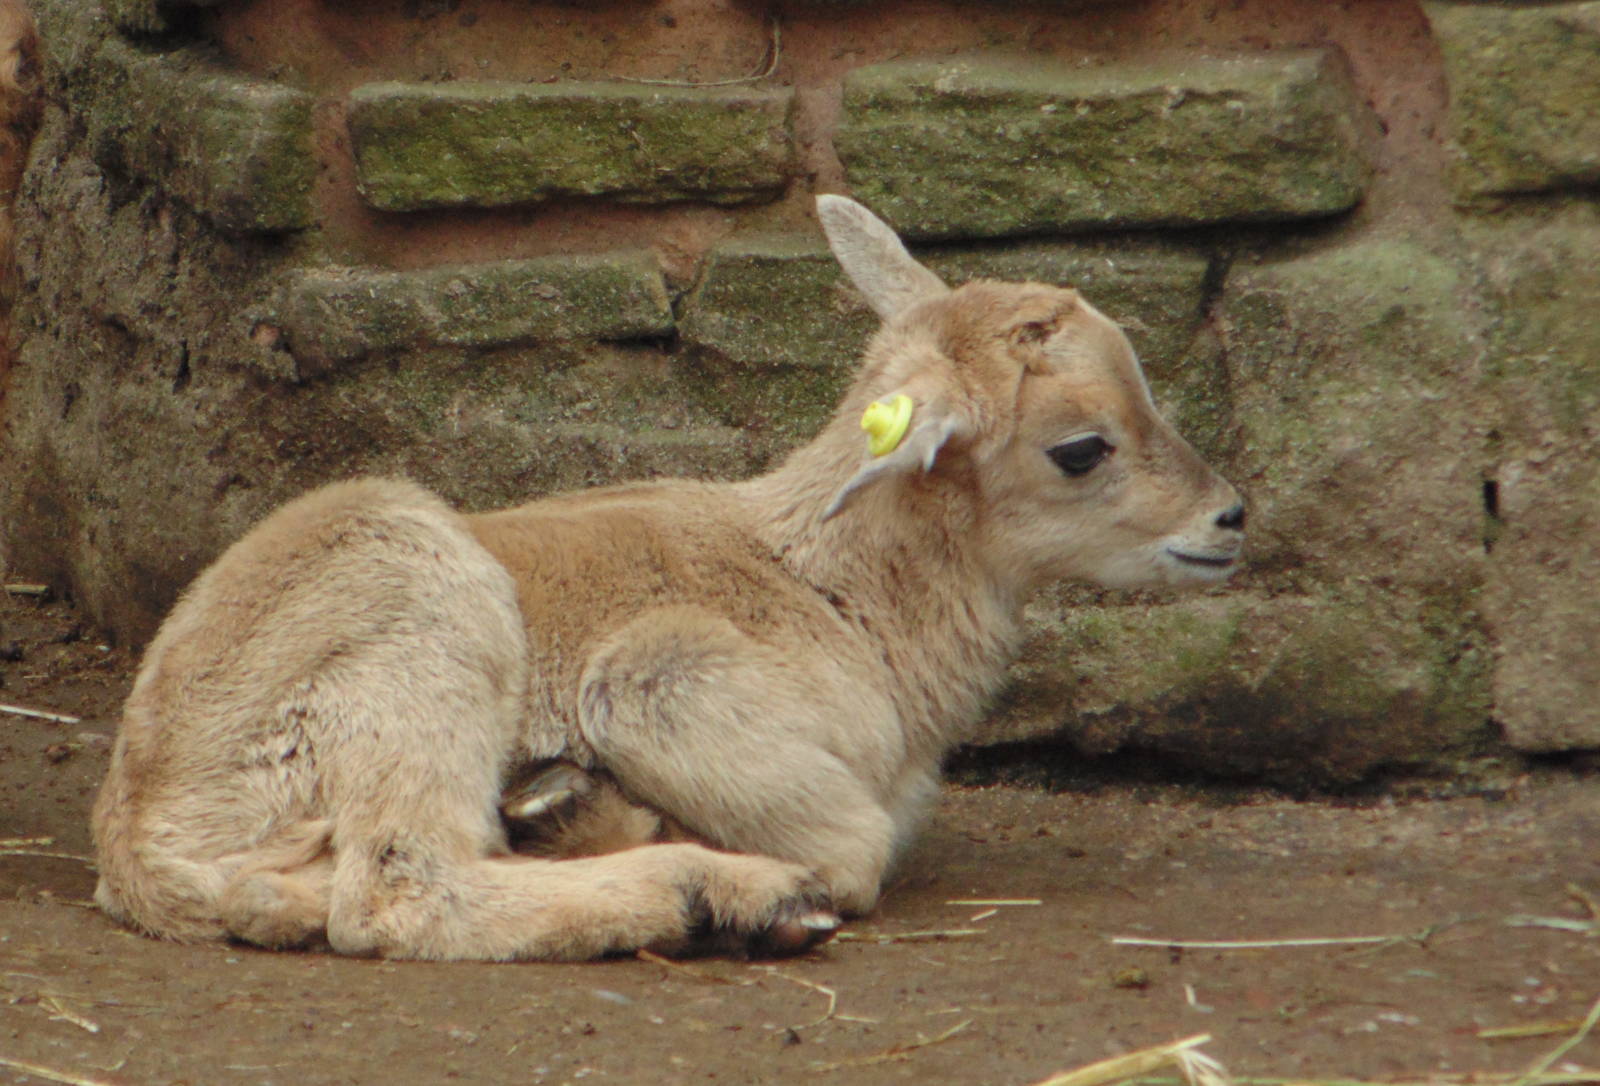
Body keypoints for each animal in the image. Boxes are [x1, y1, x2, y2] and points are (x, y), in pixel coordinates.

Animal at [90, 195, 1246, 961]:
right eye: (1081, 448)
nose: (1229, 519)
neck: (841, 597)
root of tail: (142, 841)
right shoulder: (662, 681)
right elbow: (857, 844)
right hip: (421, 615)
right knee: (398, 892)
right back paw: (716, 893)